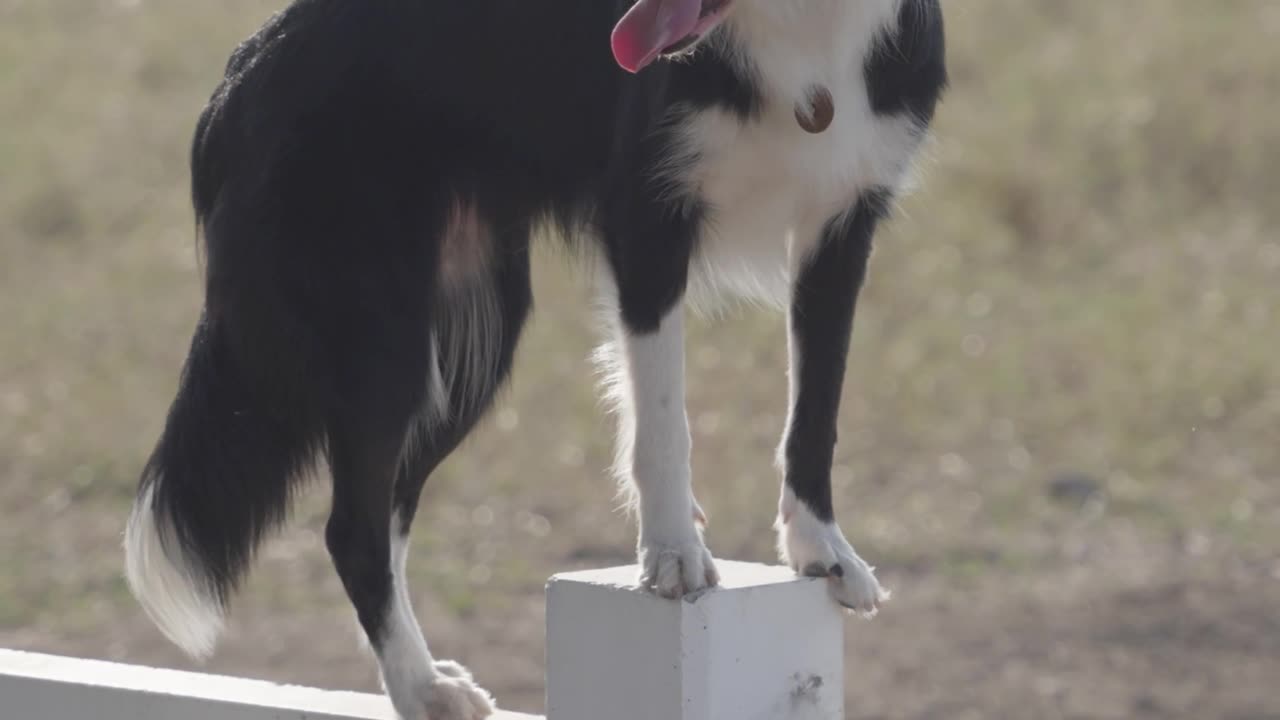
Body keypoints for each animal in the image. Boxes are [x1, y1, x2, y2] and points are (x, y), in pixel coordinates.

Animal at [124, 1, 942, 712]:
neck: (797, 27)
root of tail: (243, 67)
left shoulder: (841, 228)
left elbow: (816, 410)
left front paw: (822, 550)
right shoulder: (647, 221)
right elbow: (663, 420)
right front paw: (674, 552)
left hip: (468, 351)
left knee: (386, 513)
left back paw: (425, 674)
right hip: (382, 337)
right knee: (352, 528)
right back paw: (423, 690)